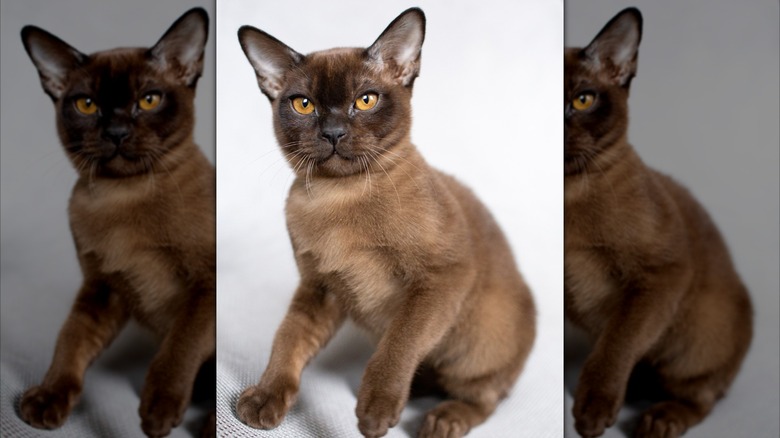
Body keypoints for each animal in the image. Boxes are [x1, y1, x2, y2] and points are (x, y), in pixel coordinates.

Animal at [20, 6, 215, 438]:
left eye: (149, 99)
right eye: (87, 105)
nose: (117, 132)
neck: (124, 198)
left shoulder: (205, 287)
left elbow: (180, 346)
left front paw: (159, 411)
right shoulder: (102, 290)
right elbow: (70, 342)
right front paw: (48, 398)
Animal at [235, 6, 532, 438]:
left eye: (365, 100)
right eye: (304, 105)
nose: (334, 132)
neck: (341, 198)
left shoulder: (440, 279)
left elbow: (398, 344)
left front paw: (375, 411)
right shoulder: (319, 288)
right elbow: (287, 340)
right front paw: (264, 398)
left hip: (479, 341)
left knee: (484, 396)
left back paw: (441, 419)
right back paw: (417, 389)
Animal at [564, 7, 752, 438]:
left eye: (582, 100)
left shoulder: (660, 276)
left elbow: (617, 344)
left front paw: (593, 413)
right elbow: (615, 345)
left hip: (695, 338)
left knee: (701, 395)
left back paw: (658, 419)